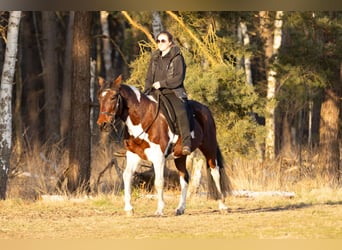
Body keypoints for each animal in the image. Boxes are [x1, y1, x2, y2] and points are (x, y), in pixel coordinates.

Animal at [96, 75, 232, 216]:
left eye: (113, 97)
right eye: (99, 97)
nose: (102, 124)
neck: (143, 117)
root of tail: (205, 109)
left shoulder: (158, 157)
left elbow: (159, 182)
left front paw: (160, 209)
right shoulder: (133, 155)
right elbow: (127, 176)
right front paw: (129, 209)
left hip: (209, 147)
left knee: (215, 172)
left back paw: (222, 205)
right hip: (180, 156)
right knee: (184, 178)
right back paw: (180, 208)